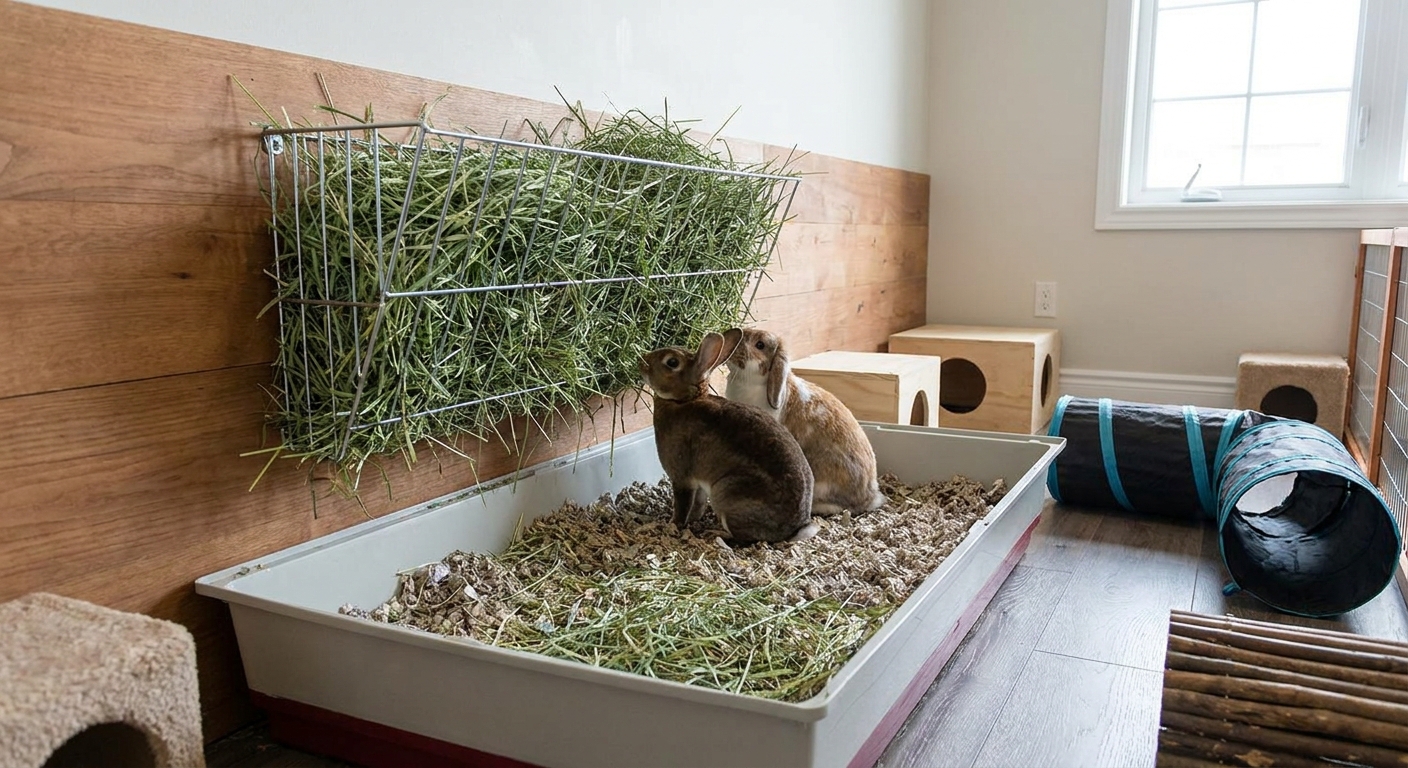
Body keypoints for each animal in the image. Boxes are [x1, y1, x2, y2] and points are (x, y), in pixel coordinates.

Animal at [638, 329, 818, 544]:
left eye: (672, 362)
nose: (642, 361)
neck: (682, 400)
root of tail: (792, 529)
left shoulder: (681, 478)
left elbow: (682, 506)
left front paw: (672, 525)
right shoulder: (698, 482)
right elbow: (697, 504)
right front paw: (693, 521)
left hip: (725, 492)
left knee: (743, 538)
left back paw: (716, 534)